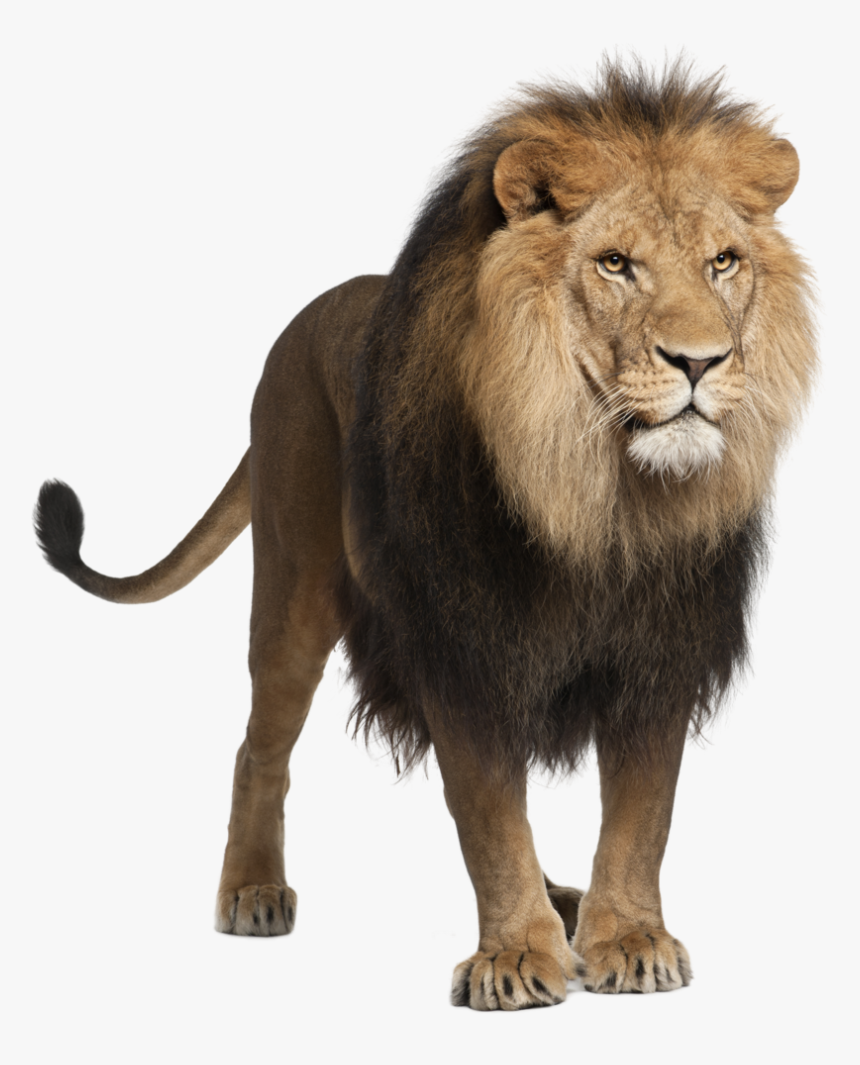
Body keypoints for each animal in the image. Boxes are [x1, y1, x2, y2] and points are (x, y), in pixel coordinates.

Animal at [35, 60, 816, 1010]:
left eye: (723, 262)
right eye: (616, 264)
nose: (700, 362)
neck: (598, 495)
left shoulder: (658, 652)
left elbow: (641, 813)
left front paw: (627, 937)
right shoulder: (461, 644)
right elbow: (488, 813)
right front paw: (515, 956)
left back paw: (567, 902)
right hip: (294, 587)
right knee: (259, 744)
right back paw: (253, 888)